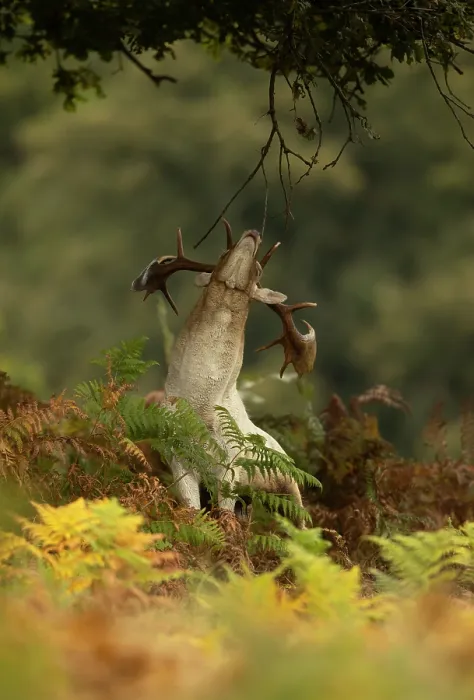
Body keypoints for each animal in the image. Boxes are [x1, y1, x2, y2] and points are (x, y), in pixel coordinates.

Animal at [131, 221, 317, 526]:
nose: (252, 234)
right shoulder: (178, 460)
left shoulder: (230, 467)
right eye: (222, 253)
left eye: (259, 270)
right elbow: (192, 511)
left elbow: (224, 515)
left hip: (289, 490)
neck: (200, 404)